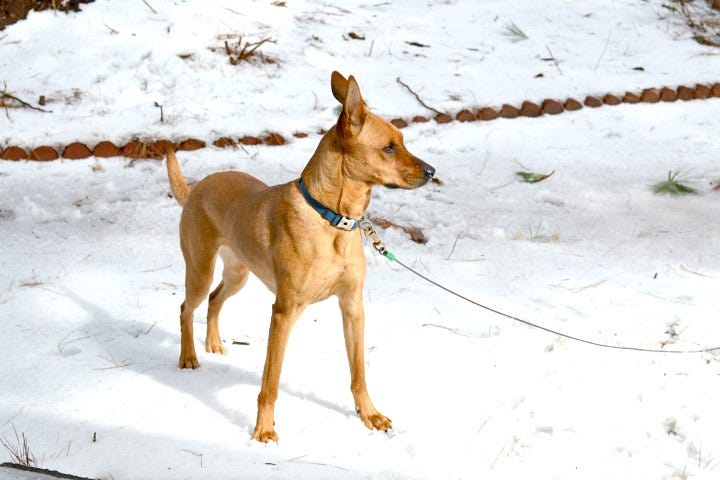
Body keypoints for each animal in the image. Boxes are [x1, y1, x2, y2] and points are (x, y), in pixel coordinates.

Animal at [167, 71, 436, 442]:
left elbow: (358, 374)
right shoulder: (283, 312)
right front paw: (263, 430)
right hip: (200, 270)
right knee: (186, 308)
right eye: (389, 148)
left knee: (214, 300)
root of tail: (197, 188)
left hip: (238, 274)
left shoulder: (352, 307)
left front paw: (369, 415)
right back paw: (189, 356)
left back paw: (213, 343)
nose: (432, 171)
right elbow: (270, 382)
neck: (333, 219)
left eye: (403, 142)